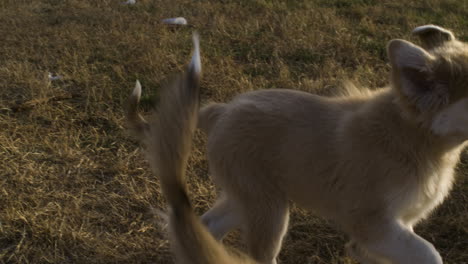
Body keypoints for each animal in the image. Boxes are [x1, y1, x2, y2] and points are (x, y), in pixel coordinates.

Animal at [197, 24, 468, 264]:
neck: (413, 138)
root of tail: (222, 111)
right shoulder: (372, 223)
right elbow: (428, 253)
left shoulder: (397, 226)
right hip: (267, 208)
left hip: (246, 197)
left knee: (209, 225)